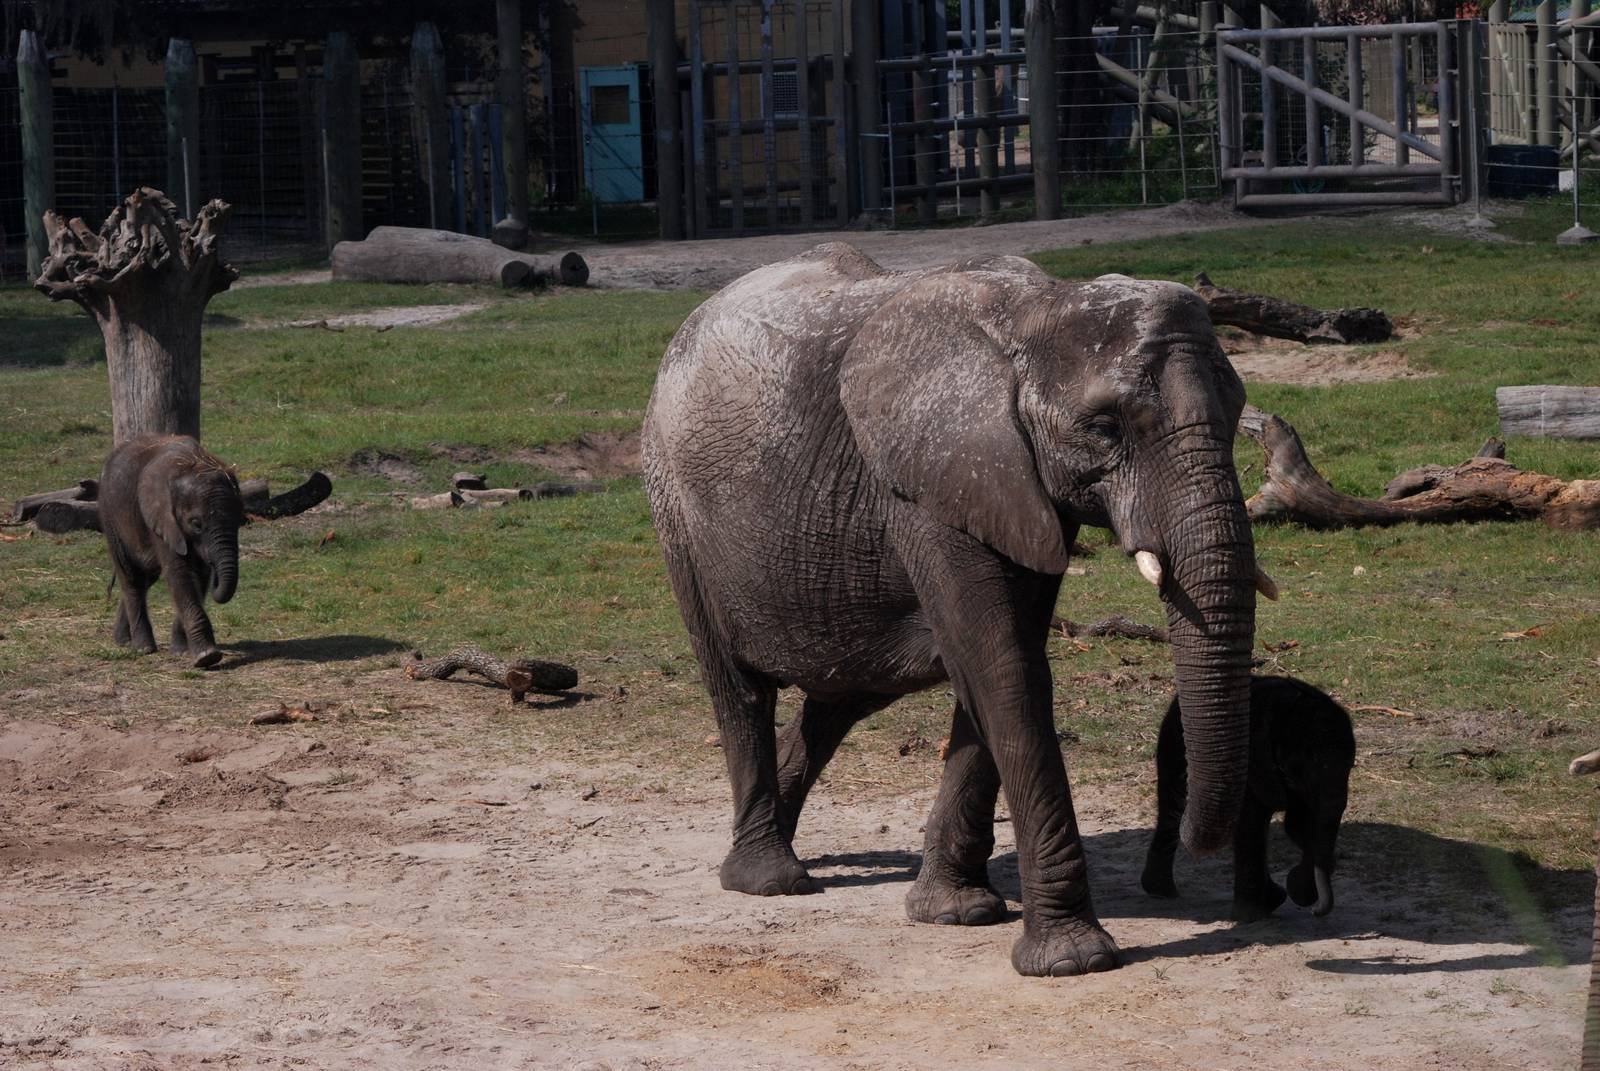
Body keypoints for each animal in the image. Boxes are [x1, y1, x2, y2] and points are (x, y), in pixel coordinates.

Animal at [100, 434, 245, 669]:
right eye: (196, 524)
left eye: (240, 520)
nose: (214, 566)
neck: (192, 463)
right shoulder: (162, 520)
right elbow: (180, 574)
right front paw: (207, 657)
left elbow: (198, 577)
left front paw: (182, 652)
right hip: (110, 515)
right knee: (132, 577)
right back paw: (143, 648)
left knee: (146, 579)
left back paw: (123, 641)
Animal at [642, 242, 1271, 977]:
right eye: (1104, 427)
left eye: (1236, 411)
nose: (1191, 852)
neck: (1040, 306)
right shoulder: (933, 479)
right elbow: (1002, 666)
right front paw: (1073, 960)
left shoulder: (1009, 486)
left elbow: (994, 661)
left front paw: (955, 913)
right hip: (676, 511)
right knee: (739, 689)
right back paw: (770, 877)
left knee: (844, 693)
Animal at [1141, 675, 1355, 920]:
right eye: (1296, 771)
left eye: (1351, 766)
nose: (1314, 911)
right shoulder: (1254, 761)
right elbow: (1254, 820)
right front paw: (1252, 915)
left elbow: (1298, 825)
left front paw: (1296, 889)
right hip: (1173, 744)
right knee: (1173, 805)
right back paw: (1161, 892)